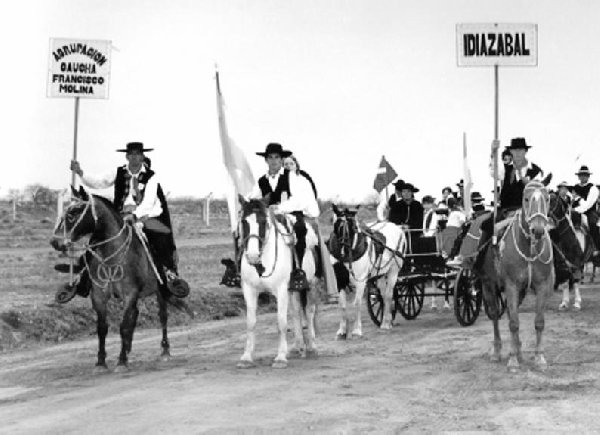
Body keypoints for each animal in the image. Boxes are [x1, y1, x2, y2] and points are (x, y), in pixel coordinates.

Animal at [50, 187, 182, 372]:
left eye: (73, 213)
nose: (55, 242)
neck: (112, 256)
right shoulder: (99, 295)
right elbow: (102, 328)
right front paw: (101, 362)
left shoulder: (130, 293)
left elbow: (123, 325)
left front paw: (121, 361)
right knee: (135, 314)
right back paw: (128, 348)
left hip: (160, 290)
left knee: (162, 316)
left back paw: (164, 350)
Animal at [236, 196, 322, 370]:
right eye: (244, 221)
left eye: (264, 222)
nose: (253, 256)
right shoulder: (249, 290)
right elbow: (250, 322)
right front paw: (247, 357)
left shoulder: (281, 290)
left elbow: (281, 322)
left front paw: (280, 357)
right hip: (293, 290)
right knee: (296, 312)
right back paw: (298, 347)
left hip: (311, 284)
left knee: (309, 311)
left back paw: (312, 346)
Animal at [328, 205, 408, 340]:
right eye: (336, 225)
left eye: (352, 226)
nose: (343, 250)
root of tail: (397, 228)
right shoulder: (340, 280)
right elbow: (342, 304)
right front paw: (342, 331)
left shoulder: (361, 280)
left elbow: (357, 303)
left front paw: (356, 330)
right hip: (380, 274)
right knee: (383, 294)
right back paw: (385, 321)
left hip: (393, 270)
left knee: (388, 295)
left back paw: (386, 322)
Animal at [476, 182, 556, 372]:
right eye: (526, 199)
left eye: (547, 198)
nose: (538, 230)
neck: (529, 249)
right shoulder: (511, 286)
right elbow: (513, 323)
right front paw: (512, 360)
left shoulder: (541, 286)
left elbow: (538, 322)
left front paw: (539, 358)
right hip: (488, 285)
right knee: (495, 316)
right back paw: (497, 352)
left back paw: (519, 351)